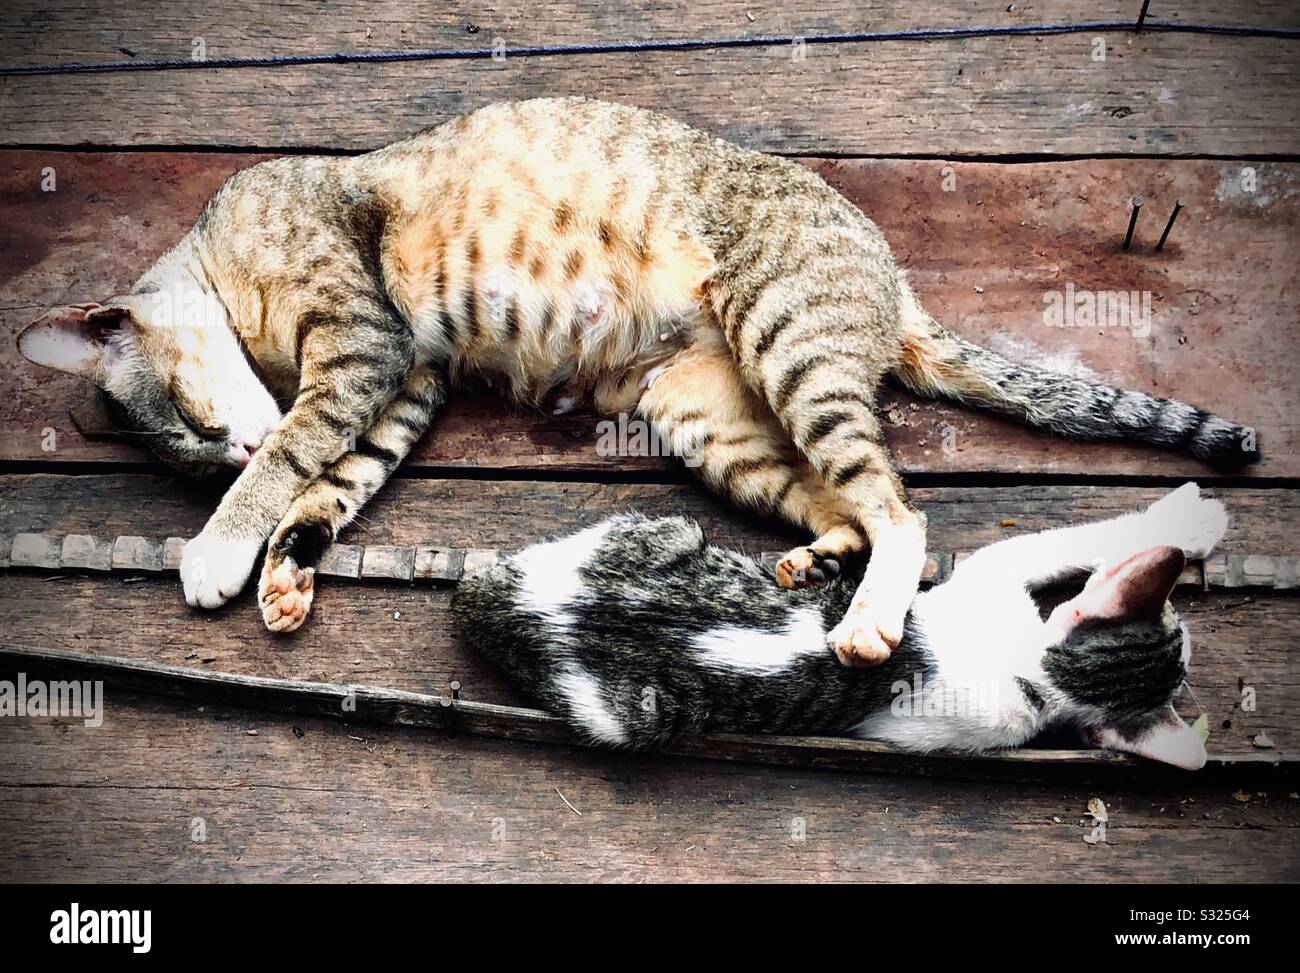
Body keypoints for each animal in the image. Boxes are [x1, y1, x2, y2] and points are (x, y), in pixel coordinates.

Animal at [17, 96, 1258, 660]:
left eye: (186, 421)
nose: (213, 444)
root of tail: (893, 282)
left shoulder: (363, 348)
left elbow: (288, 458)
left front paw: (222, 545)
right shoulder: (404, 383)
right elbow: (333, 484)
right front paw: (285, 572)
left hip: (786, 345)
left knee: (904, 511)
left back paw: (865, 619)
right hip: (715, 419)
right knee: (847, 505)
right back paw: (819, 566)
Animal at [452, 481, 1222, 770]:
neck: (1028, 664)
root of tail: (504, 595)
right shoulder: (994, 572)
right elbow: (1079, 537)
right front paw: (1191, 521)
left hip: (652, 562)